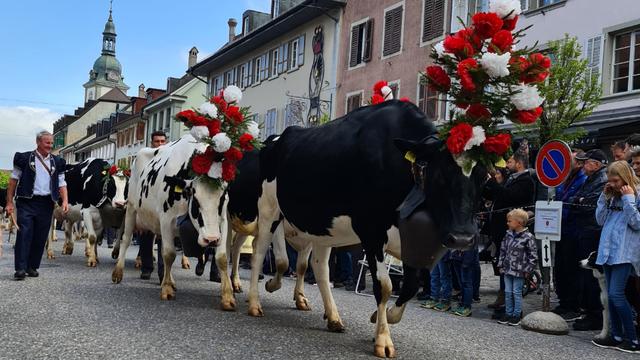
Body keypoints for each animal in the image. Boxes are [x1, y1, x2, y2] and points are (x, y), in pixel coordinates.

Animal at [111, 135, 234, 310]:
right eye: (195, 199)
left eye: (222, 197)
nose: (211, 239)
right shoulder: (166, 218)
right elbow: (169, 254)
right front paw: (167, 290)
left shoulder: (222, 222)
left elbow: (222, 257)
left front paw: (228, 296)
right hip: (132, 209)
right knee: (126, 239)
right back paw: (118, 272)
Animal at [250, 100, 484, 358]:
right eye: (440, 174)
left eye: (483, 177)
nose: (463, 238)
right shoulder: (372, 233)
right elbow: (385, 287)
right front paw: (383, 339)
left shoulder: (410, 243)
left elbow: (411, 285)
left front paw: (385, 317)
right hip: (269, 209)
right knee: (259, 252)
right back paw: (255, 302)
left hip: (323, 229)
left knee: (318, 268)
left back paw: (333, 317)